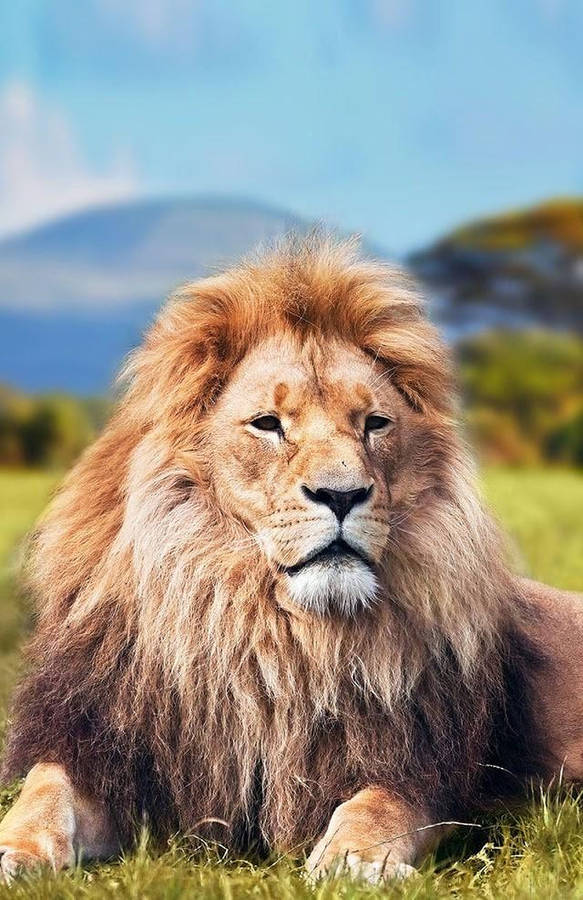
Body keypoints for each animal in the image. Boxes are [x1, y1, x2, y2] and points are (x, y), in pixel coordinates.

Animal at [0, 235, 582, 883]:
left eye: (375, 423)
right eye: (268, 424)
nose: (342, 494)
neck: (272, 633)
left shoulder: (424, 768)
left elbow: (376, 807)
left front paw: (354, 863)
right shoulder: (105, 748)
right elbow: (43, 793)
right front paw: (16, 850)